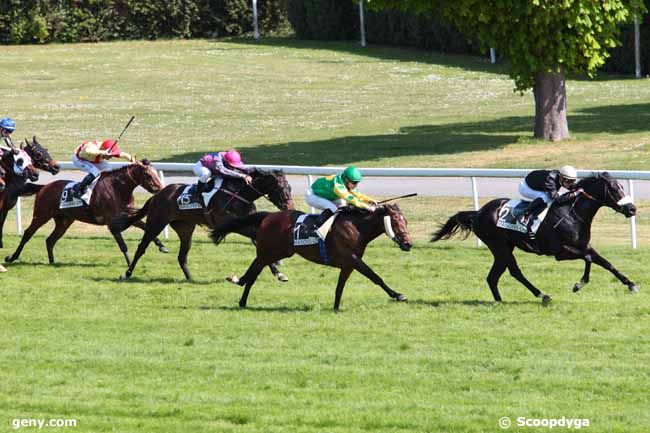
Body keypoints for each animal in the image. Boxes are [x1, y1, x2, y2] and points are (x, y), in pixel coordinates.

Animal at [5, 160, 166, 264]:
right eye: (148, 175)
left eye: (156, 174)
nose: (160, 189)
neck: (118, 189)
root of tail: (44, 187)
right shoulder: (112, 223)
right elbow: (123, 245)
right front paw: (129, 264)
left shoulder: (128, 216)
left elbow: (145, 227)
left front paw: (162, 246)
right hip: (41, 215)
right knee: (28, 233)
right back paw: (12, 257)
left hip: (64, 221)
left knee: (50, 240)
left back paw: (52, 262)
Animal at [116, 169, 294, 280]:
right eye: (280, 188)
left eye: (290, 188)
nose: (289, 207)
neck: (240, 195)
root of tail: (157, 195)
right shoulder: (228, 223)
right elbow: (255, 236)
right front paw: (278, 267)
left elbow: (258, 239)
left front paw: (278, 271)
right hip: (156, 223)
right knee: (141, 248)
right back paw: (126, 274)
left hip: (185, 228)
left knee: (182, 256)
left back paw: (190, 278)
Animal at [208, 203, 410, 310]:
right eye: (395, 222)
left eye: (406, 221)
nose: (408, 244)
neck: (356, 227)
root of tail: (268, 216)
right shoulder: (352, 258)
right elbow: (375, 276)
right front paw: (398, 295)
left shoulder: (348, 264)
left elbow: (340, 287)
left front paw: (336, 308)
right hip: (270, 251)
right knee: (254, 272)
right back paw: (241, 294)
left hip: (280, 251)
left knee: (255, 269)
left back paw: (239, 286)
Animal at [430, 170, 636, 302]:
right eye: (614, 189)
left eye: (622, 187)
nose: (632, 209)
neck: (572, 212)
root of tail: (478, 213)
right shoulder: (560, 252)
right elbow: (588, 259)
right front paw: (579, 284)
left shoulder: (583, 245)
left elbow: (604, 262)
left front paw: (631, 284)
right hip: (499, 246)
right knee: (514, 272)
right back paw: (542, 295)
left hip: (504, 247)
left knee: (493, 277)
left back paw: (499, 301)